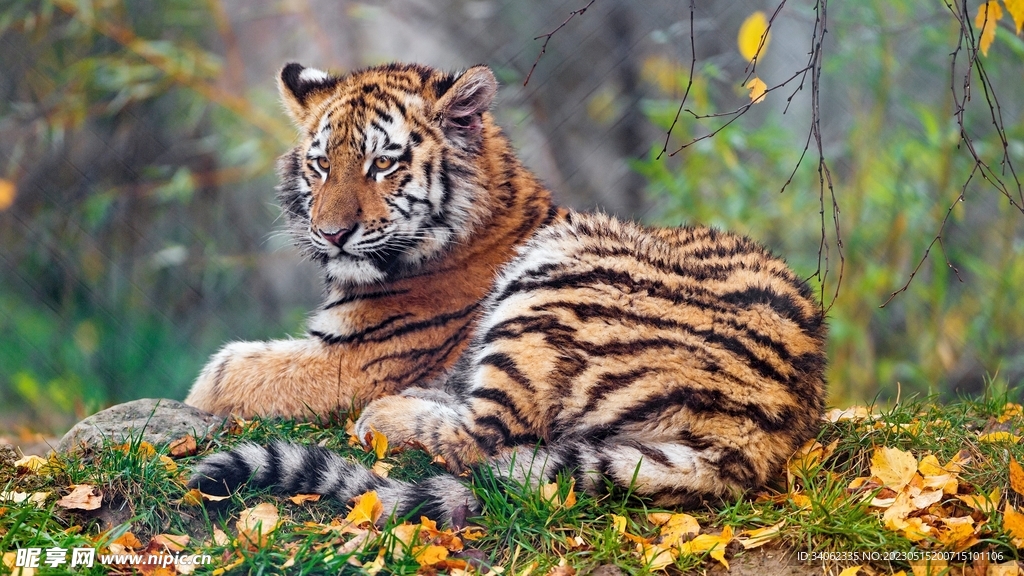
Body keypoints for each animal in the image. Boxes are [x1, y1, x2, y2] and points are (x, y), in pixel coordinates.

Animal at [186, 62, 828, 523]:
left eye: (382, 164)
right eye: (320, 166)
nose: (331, 234)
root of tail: (762, 434)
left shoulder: (356, 359)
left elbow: (226, 371)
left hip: (552, 282)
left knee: (485, 435)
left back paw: (387, 413)